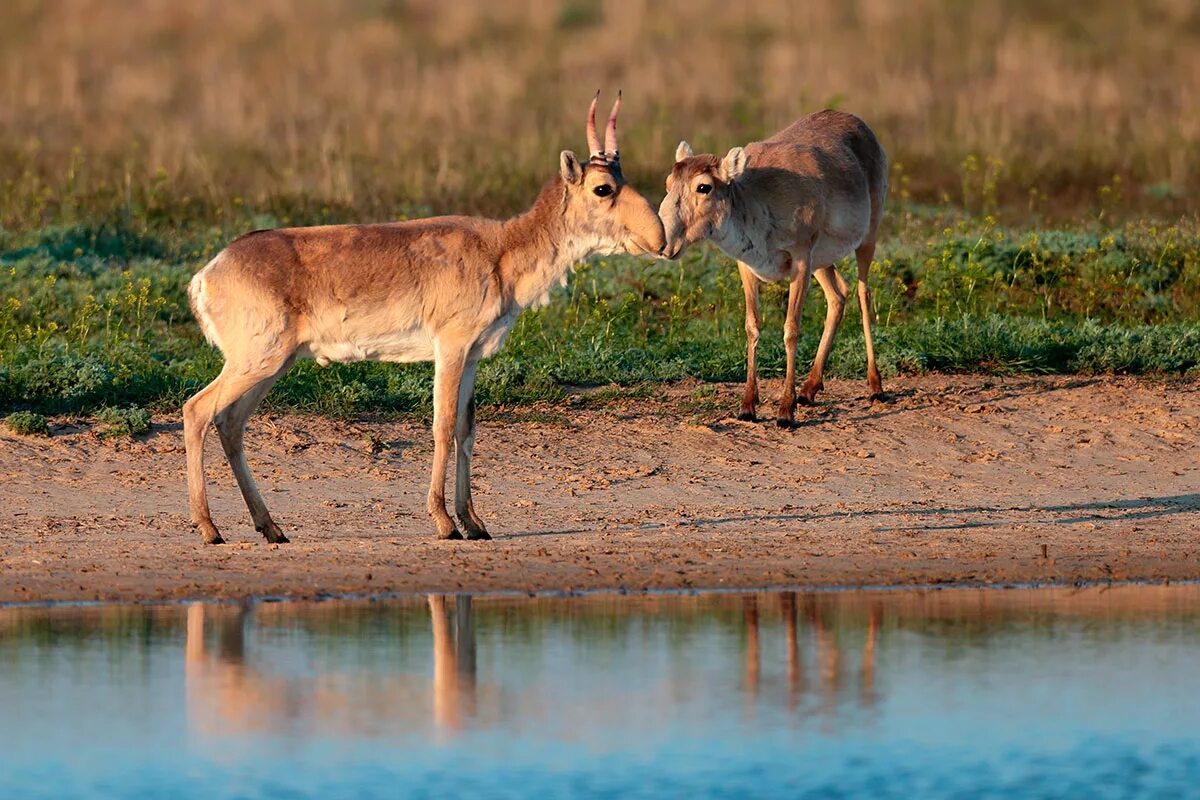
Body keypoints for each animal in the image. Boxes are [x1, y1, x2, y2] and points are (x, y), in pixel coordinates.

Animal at [184, 94, 667, 544]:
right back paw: (210, 528)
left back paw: (271, 528)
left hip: (271, 366)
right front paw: (444, 522)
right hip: (256, 361)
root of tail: (208, 274)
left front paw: (475, 522)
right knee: (197, 410)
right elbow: (442, 426)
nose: (659, 238)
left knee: (230, 423)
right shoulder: (450, 347)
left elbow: (466, 429)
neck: (502, 250)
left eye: (624, 178)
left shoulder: (473, 356)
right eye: (603, 188)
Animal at [657, 110, 892, 431]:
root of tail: (860, 124)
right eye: (668, 182)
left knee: (862, 293)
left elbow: (791, 329)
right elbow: (752, 325)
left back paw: (875, 386)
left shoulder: (801, 258)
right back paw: (809, 388)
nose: (664, 242)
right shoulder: (747, 265)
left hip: (868, 234)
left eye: (703, 187)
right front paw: (747, 406)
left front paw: (785, 410)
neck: (756, 199)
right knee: (838, 296)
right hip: (822, 261)